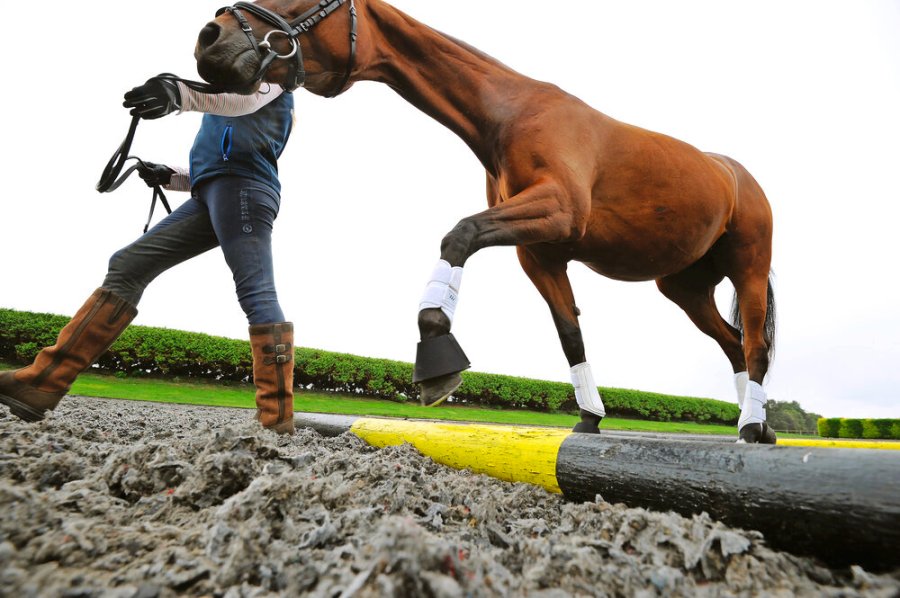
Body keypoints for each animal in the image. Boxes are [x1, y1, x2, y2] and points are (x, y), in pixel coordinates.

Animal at [193, 0, 776, 440]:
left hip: (748, 270)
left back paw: (751, 426)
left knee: (753, 343)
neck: (512, 113)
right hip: (684, 287)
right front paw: (589, 418)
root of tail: (737, 175)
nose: (209, 36)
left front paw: (436, 351)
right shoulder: (539, 254)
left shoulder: (557, 211)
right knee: (731, 345)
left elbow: (460, 234)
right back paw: (760, 424)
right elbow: (570, 335)